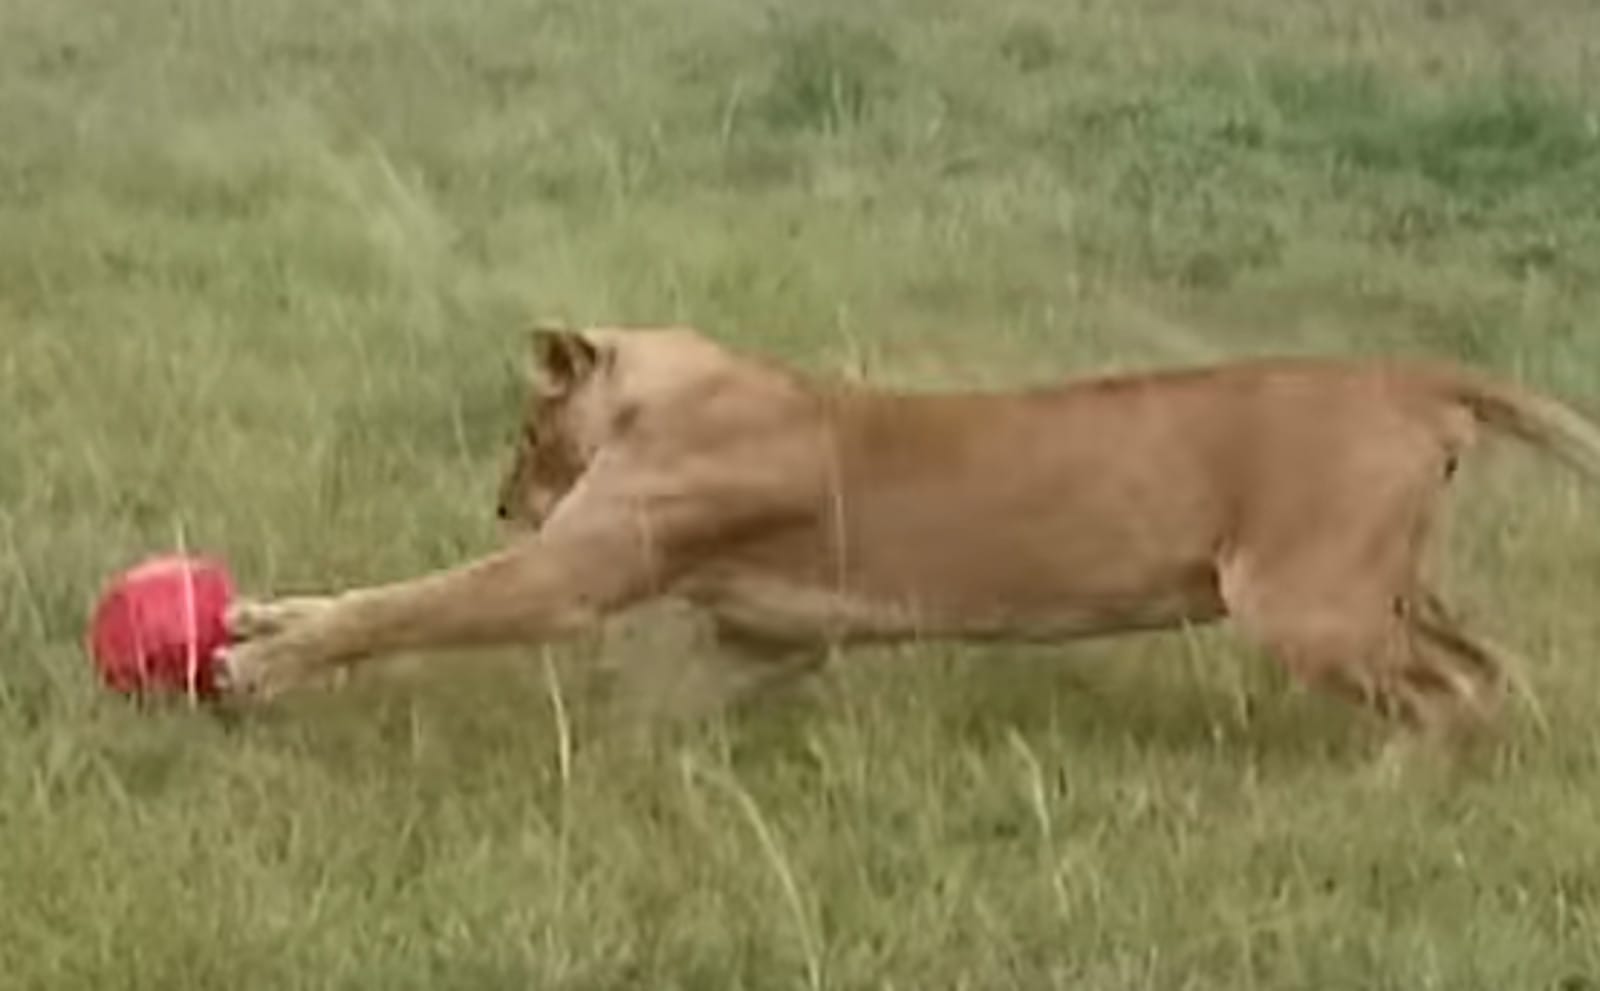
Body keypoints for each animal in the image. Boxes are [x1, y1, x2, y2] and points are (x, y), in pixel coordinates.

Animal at [218, 324, 1600, 739]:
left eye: (526, 425)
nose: (503, 500)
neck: (679, 384)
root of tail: (1410, 372)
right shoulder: (770, 636)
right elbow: (665, 706)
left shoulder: (570, 574)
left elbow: (403, 601)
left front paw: (257, 661)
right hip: (1381, 586)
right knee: (1489, 671)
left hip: (1301, 602)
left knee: (1450, 697)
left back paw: (1382, 798)